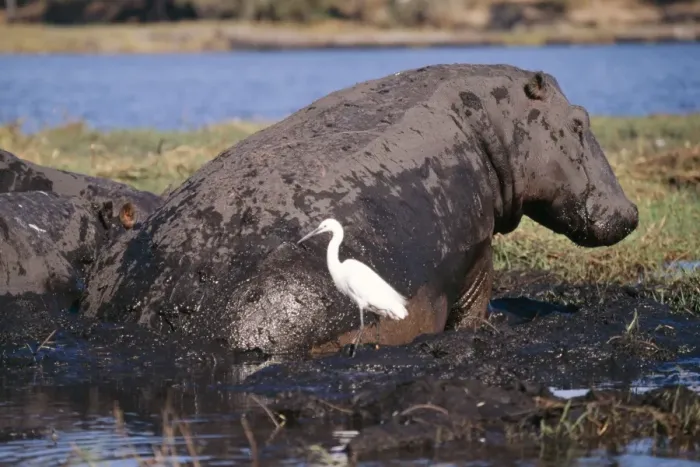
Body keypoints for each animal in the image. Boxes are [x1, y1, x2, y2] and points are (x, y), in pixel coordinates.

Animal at [81, 64, 638, 357]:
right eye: (580, 121)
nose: (631, 211)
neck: (493, 118)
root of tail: (157, 312)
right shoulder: (477, 249)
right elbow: (474, 303)